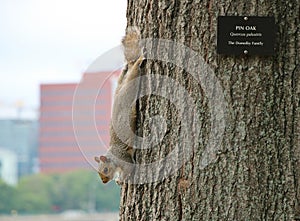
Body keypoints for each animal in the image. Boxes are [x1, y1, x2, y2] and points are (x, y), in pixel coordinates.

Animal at [94, 27, 145, 185]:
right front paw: (118, 180)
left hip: (130, 89)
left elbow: (129, 168)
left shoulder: (124, 158)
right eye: (98, 172)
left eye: (105, 169)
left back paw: (139, 60)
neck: (113, 156)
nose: (104, 182)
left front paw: (123, 180)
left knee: (134, 72)